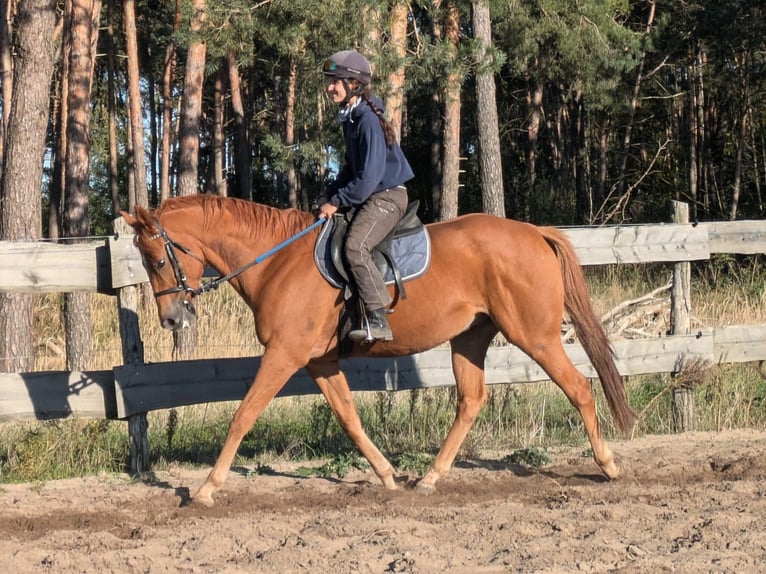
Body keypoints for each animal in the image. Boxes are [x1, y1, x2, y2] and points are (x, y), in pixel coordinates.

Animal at [121, 195, 636, 508]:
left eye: (156, 258)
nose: (171, 320)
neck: (276, 260)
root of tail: (532, 231)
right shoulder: (319, 360)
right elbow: (349, 417)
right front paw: (388, 475)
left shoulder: (285, 354)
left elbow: (243, 414)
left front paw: (207, 488)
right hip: (471, 337)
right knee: (471, 401)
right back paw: (429, 477)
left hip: (536, 335)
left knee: (578, 387)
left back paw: (609, 465)